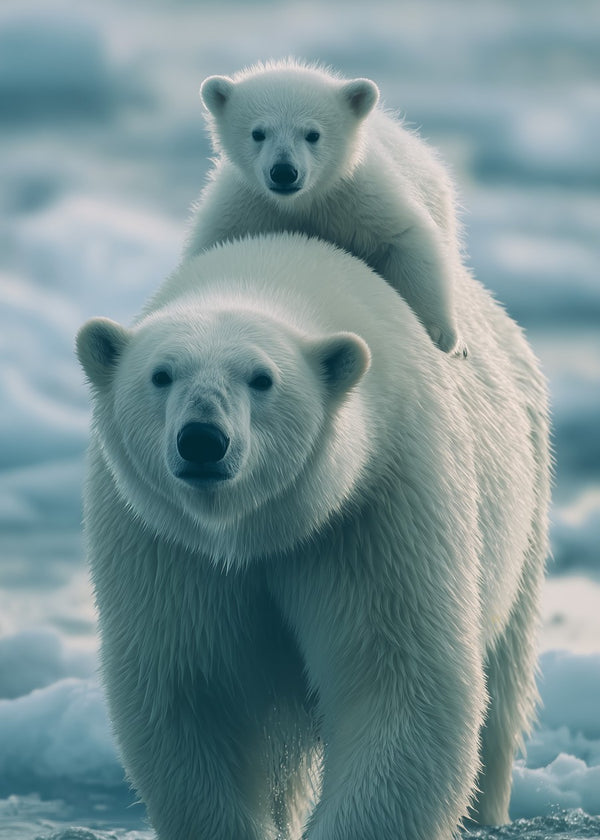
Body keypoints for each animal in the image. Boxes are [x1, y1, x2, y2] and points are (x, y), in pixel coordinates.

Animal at [76, 233, 550, 840]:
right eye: (161, 374)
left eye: (262, 378)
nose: (202, 439)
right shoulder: (169, 545)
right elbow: (193, 684)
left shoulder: (372, 510)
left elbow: (395, 678)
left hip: (525, 501)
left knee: (503, 684)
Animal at [185, 59, 468, 357]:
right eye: (257, 133)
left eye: (313, 134)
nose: (284, 172)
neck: (302, 202)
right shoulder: (246, 206)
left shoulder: (358, 194)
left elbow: (407, 239)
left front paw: (443, 335)